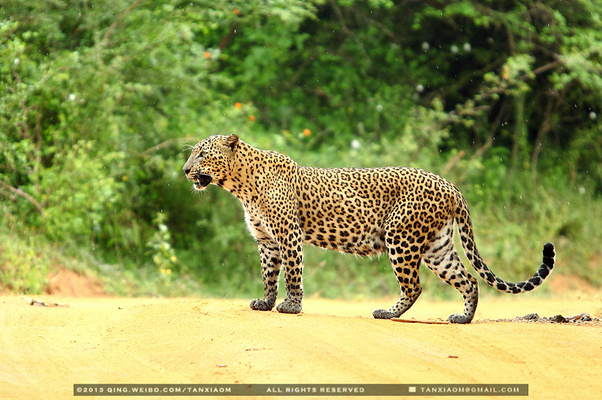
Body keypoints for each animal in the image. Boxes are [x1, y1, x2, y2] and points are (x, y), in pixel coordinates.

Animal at [182, 134, 552, 322]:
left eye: (201, 154)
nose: (185, 170)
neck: (240, 185)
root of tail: (451, 186)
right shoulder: (266, 240)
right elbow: (269, 275)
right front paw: (265, 302)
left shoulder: (289, 235)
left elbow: (293, 273)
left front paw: (291, 307)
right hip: (438, 247)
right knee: (469, 280)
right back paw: (463, 318)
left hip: (401, 238)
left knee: (414, 286)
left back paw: (386, 313)